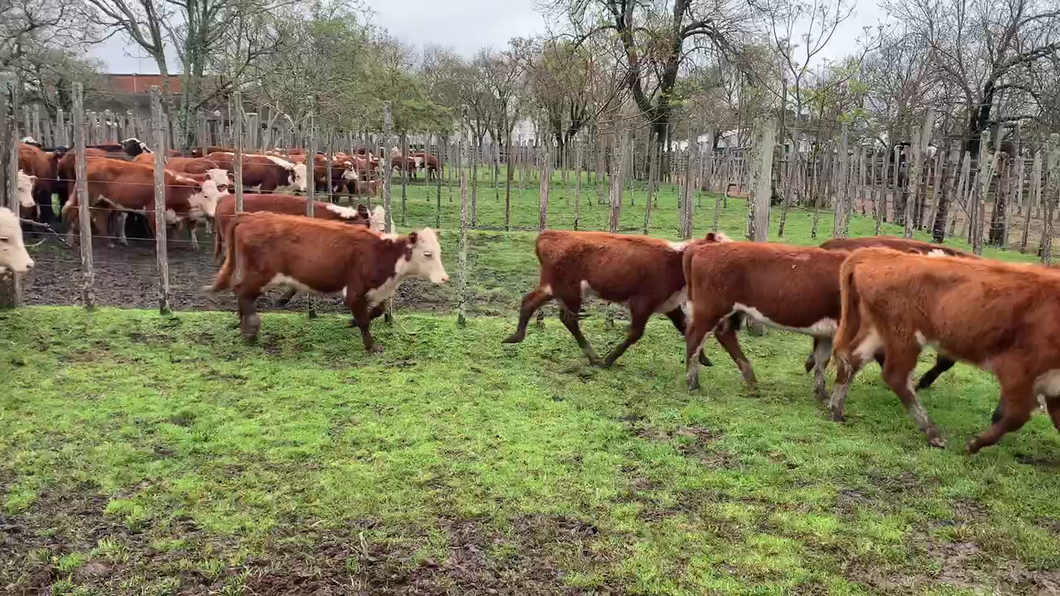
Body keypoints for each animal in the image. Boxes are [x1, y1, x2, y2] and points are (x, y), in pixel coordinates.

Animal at [210, 212, 447, 349]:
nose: (445, 278)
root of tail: (249, 216)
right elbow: (364, 320)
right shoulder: (353, 292)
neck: (382, 253)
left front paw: (351, 322)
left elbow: (377, 312)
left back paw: (244, 325)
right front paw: (371, 347)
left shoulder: (377, 290)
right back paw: (251, 329)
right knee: (242, 291)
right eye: (427, 254)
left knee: (240, 292)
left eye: (438, 251)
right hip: (261, 275)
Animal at [500, 228, 725, 364]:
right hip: (570, 291)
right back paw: (594, 357)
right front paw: (610, 359)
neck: (676, 260)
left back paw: (516, 336)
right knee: (568, 319)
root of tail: (551, 234)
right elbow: (635, 333)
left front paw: (702, 358)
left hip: (553, 287)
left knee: (529, 302)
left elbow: (685, 327)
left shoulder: (670, 305)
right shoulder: (642, 302)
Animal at [826, 247, 1060, 449]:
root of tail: (874, 253)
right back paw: (932, 433)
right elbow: (1016, 416)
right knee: (896, 377)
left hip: (877, 331)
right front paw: (974, 444)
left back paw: (836, 410)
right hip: (904, 336)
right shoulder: (1018, 370)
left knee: (853, 360)